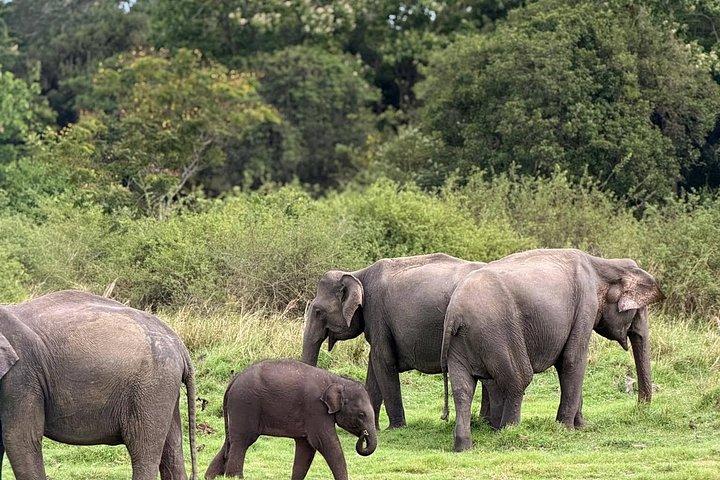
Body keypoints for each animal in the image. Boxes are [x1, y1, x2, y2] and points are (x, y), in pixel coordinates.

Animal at [0, 290, 198, 480]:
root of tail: (180, 346)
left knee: (143, 449)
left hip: (151, 387)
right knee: (171, 448)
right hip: (164, 387)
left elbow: (20, 439)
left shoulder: (21, 374)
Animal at [205, 359, 377, 480]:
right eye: (361, 414)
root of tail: (234, 380)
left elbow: (306, 447)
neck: (336, 379)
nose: (364, 435)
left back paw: (209, 476)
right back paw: (234, 477)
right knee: (242, 442)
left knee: (230, 442)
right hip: (245, 405)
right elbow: (324, 443)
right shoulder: (315, 409)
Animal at [301, 253, 486, 429]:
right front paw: (372, 427)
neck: (358, 274)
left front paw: (395, 427)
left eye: (317, 311)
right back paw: (485, 423)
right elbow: (373, 365)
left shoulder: (377, 314)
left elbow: (383, 361)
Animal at [441, 248, 664, 451]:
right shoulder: (586, 305)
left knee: (463, 388)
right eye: (639, 310)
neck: (603, 264)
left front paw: (582, 426)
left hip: (460, 343)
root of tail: (455, 314)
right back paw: (510, 430)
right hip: (499, 333)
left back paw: (464, 446)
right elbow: (573, 359)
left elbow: (565, 363)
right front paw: (567, 428)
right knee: (518, 379)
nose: (639, 407)